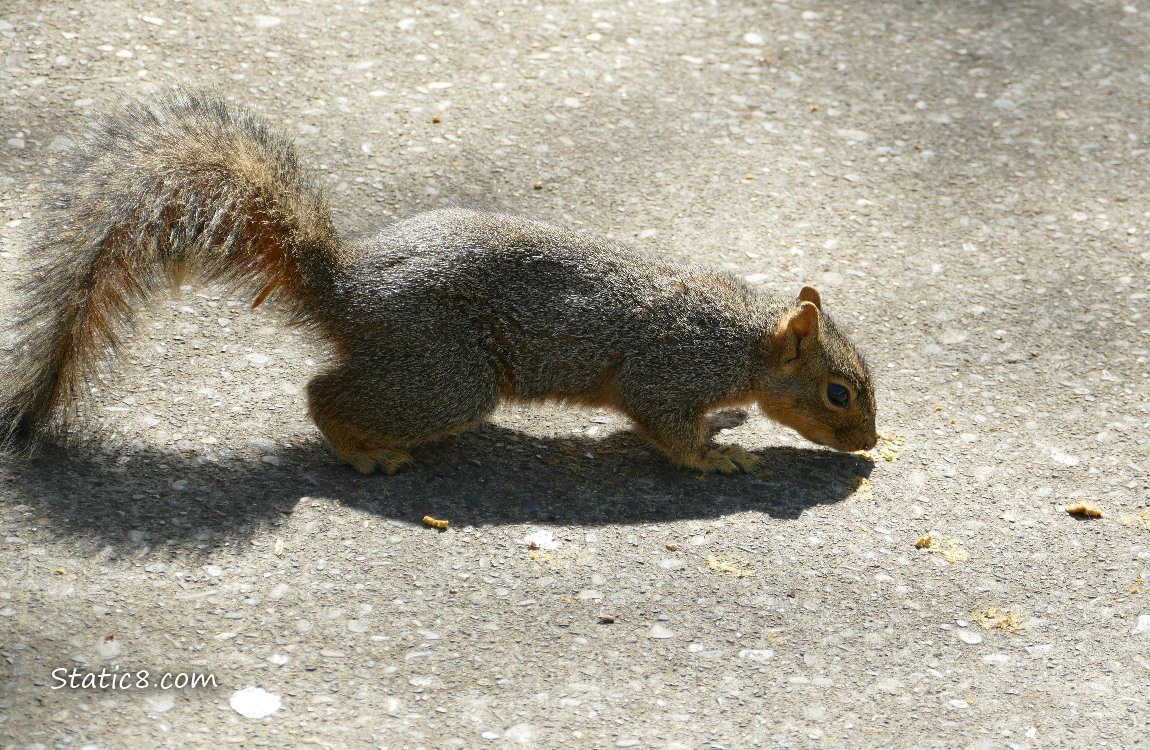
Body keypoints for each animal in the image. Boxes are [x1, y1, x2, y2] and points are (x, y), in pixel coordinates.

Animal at [0, 90, 877, 474]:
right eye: (838, 392)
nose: (870, 446)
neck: (744, 336)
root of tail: (345, 289)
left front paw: (726, 424)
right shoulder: (670, 367)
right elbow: (659, 423)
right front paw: (714, 460)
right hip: (444, 375)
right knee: (325, 393)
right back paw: (366, 453)